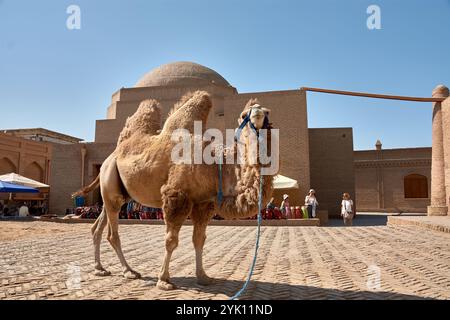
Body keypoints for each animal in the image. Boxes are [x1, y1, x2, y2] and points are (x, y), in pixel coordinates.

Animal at [74, 90, 276, 290]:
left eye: (267, 112)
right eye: (243, 115)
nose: (258, 115)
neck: (214, 165)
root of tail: (110, 157)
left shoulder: (203, 203)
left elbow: (199, 239)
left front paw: (203, 277)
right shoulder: (176, 196)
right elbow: (171, 241)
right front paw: (164, 280)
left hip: (117, 193)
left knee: (98, 226)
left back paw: (100, 268)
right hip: (111, 182)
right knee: (112, 233)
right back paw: (129, 271)